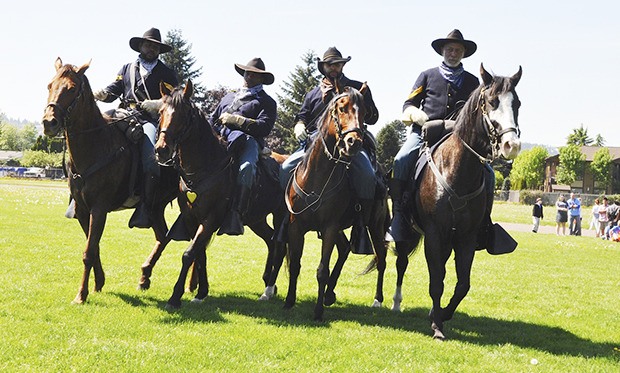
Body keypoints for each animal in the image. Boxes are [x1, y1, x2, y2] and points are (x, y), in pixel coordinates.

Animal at [42, 57, 178, 302]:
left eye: (72, 88)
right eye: (50, 85)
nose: (49, 122)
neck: (95, 144)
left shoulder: (99, 208)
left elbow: (88, 251)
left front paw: (81, 295)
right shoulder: (83, 211)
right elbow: (92, 247)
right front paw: (98, 283)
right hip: (156, 208)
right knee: (163, 237)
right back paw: (144, 277)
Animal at [155, 79, 286, 308]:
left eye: (184, 113)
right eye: (161, 111)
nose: (161, 149)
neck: (205, 166)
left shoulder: (211, 218)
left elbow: (189, 254)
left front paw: (175, 297)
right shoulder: (191, 218)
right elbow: (199, 254)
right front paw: (200, 293)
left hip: (279, 216)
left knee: (279, 245)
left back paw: (268, 289)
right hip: (256, 219)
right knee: (271, 241)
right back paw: (268, 282)